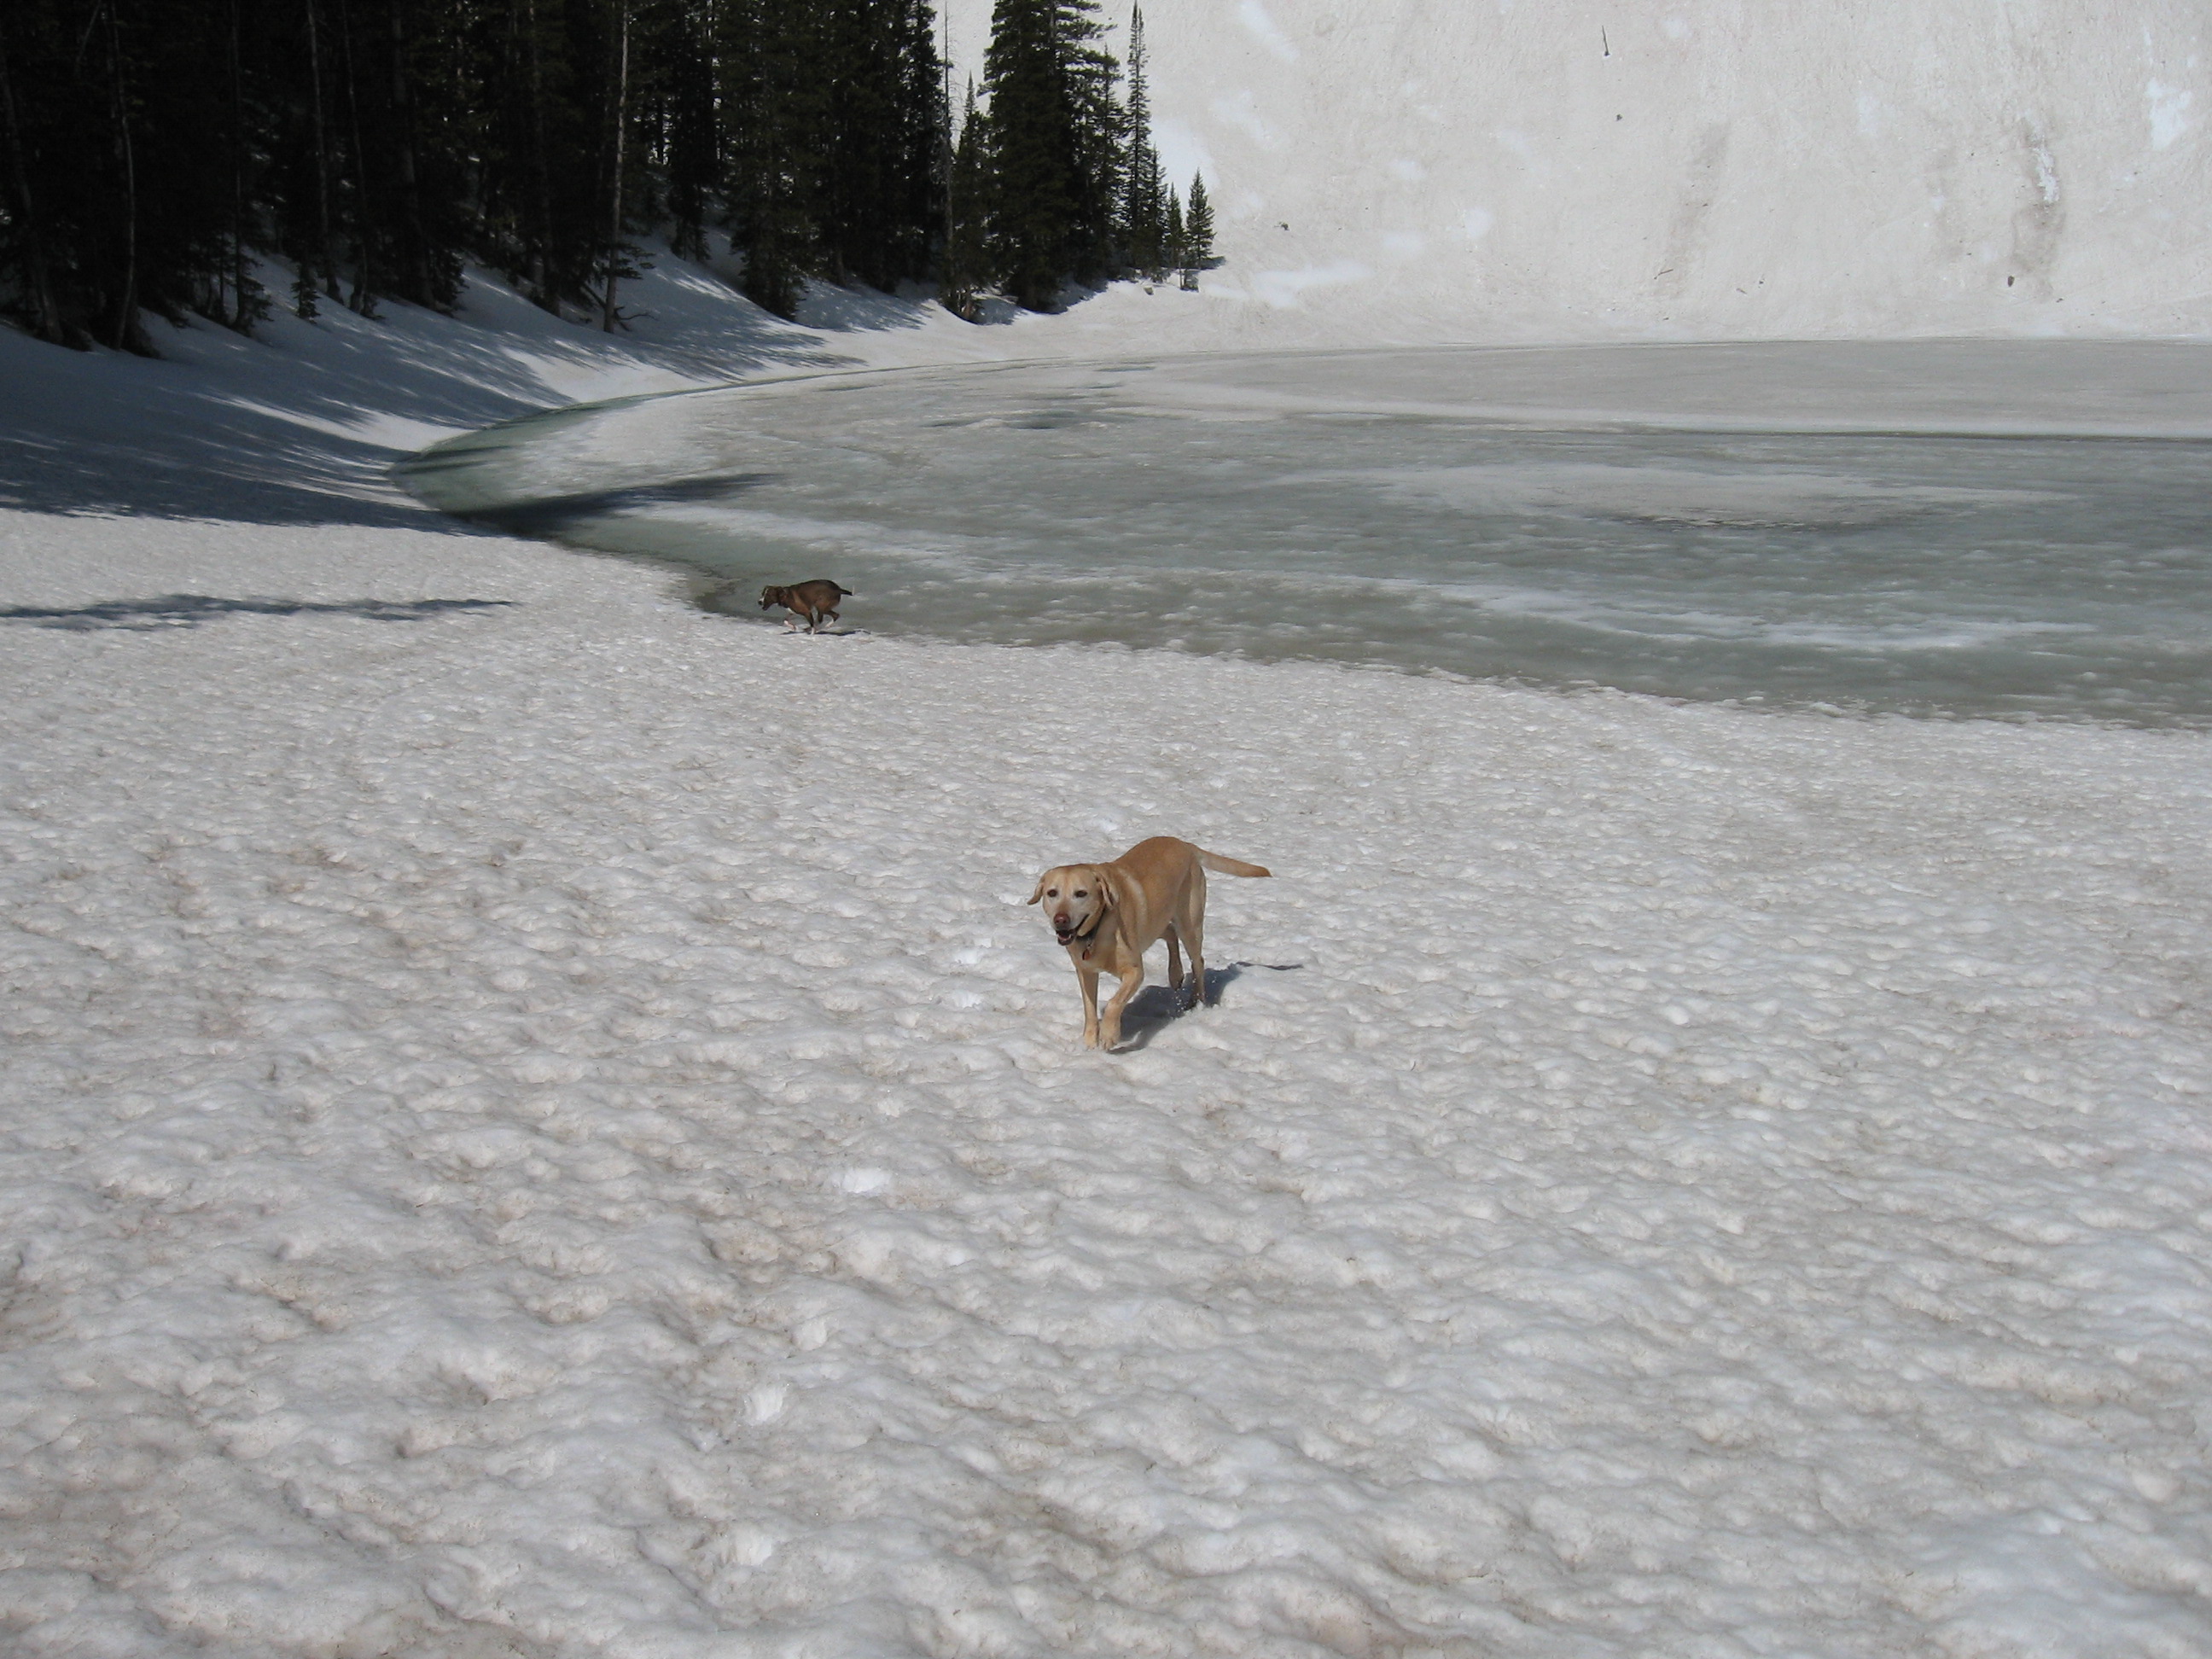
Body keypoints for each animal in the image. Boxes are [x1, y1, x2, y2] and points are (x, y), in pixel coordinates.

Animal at [1026, 835, 1273, 1057]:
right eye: (1052, 893)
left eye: (1081, 894)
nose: (1061, 920)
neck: (1096, 930)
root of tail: (1186, 845)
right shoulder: (1085, 971)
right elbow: (1089, 1008)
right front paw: (1089, 1043)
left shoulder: (1135, 971)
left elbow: (1114, 1003)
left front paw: (1109, 1035)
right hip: (1157, 919)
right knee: (1170, 934)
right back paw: (1175, 974)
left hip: (1189, 923)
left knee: (1198, 961)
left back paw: (1198, 1002)